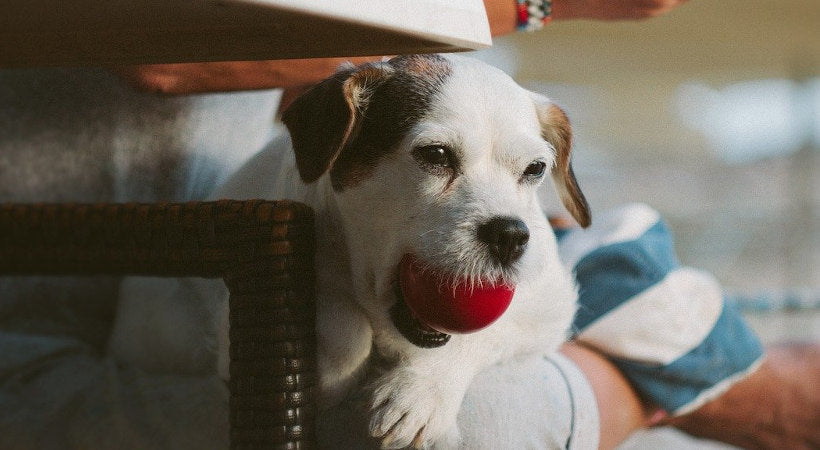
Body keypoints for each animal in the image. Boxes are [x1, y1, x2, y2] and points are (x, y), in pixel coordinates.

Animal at [110, 54, 588, 448]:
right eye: (436, 154)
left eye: (535, 169)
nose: (510, 235)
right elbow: (341, 322)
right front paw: (331, 364)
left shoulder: (549, 307)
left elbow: (487, 331)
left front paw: (423, 391)